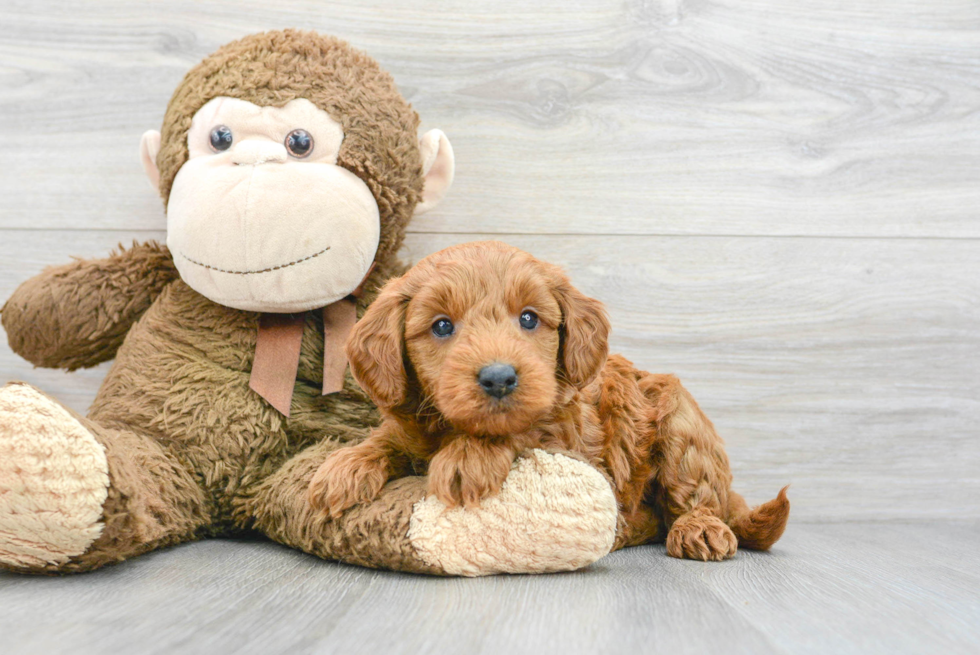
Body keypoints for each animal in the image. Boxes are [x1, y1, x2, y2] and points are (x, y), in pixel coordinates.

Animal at [310, 243, 792, 560]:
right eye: (442, 326)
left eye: (528, 318)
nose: (499, 378)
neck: (453, 427)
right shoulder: (410, 425)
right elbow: (388, 438)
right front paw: (343, 468)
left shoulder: (569, 438)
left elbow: (522, 430)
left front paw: (468, 458)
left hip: (682, 427)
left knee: (695, 499)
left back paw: (699, 530)